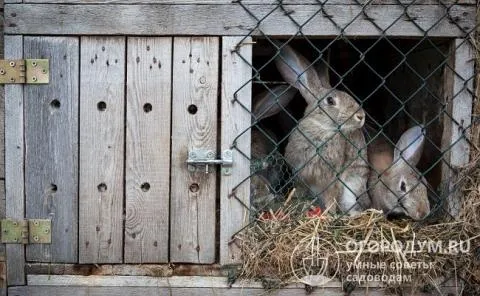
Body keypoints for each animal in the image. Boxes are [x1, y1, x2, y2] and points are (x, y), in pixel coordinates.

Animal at [272, 42, 370, 214]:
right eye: (330, 101)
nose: (361, 116)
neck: (321, 128)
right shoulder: (300, 174)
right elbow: (300, 190)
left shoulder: (331, 178)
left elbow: (331, 196)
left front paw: (328, 213)